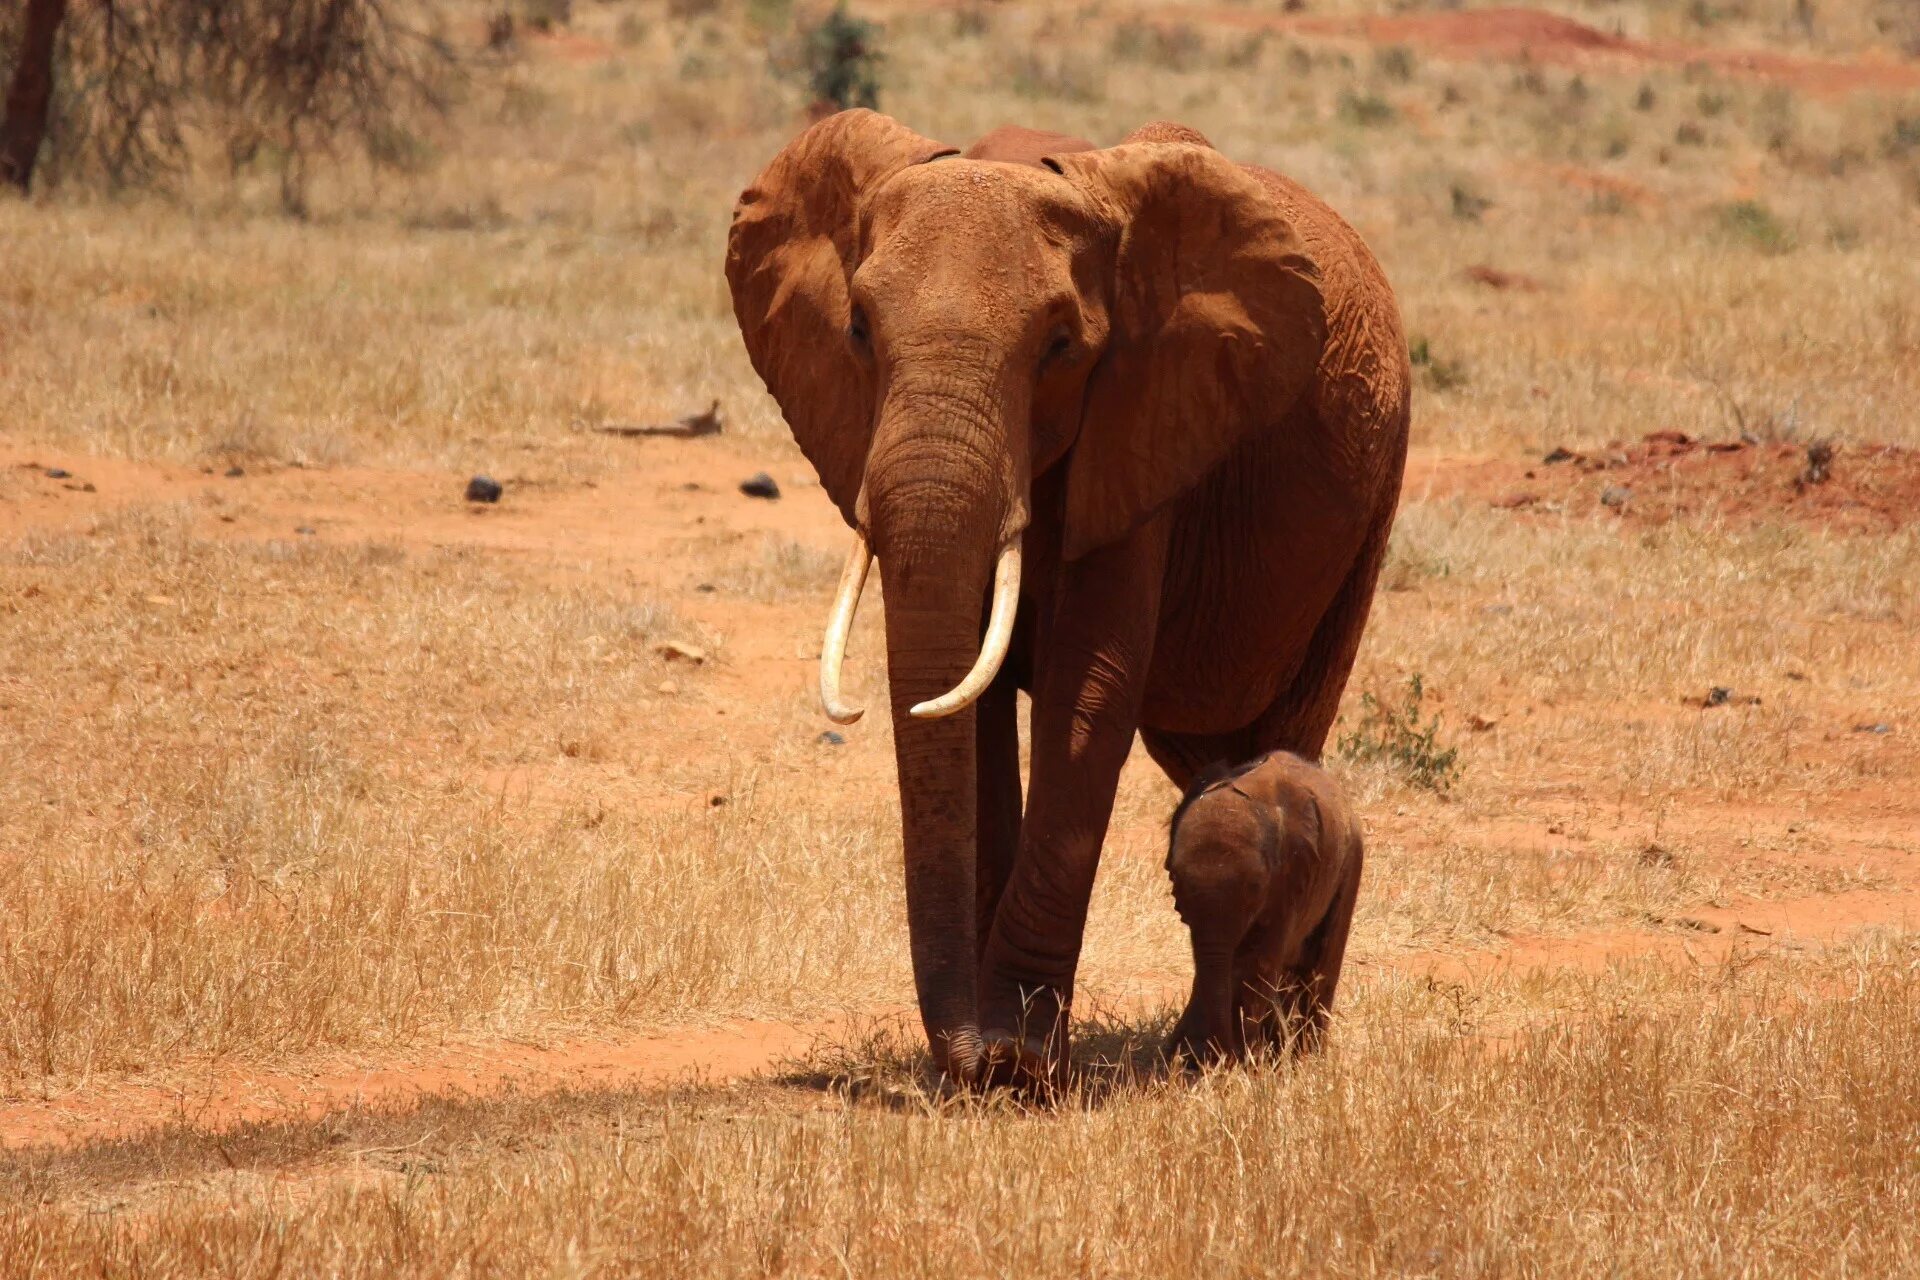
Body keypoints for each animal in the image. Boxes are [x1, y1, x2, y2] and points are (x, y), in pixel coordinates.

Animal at [1159, 752, 1359, 1059]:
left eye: (1255, 886)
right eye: (1175, 879)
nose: (1222, 1055)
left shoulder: (1290, 878)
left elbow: (1261, 963)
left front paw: (1250, 1060)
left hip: (1351, 863)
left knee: (1322, 965)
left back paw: (1307, 1056)